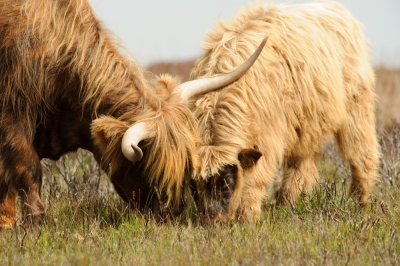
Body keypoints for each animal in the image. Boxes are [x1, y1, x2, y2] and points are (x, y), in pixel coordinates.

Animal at [0, 0, 266, 229]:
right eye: (149, 168)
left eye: (185, 172)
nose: (171, 215)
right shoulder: (12, 117)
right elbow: (29, 170)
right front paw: (34, 224)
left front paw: (7, 224)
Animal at [188, 1, 382, 223]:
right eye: (194, 185)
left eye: (227, 182)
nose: (212, 222)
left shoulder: (268, 136)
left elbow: (256, 179)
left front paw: (248, 217)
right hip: (310, 125)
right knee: (303, 164)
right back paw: (287, 203)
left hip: (357, 109)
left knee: (362, 156)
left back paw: (360, 203)